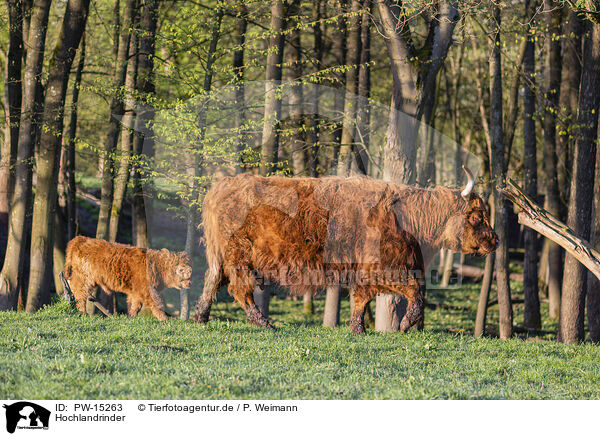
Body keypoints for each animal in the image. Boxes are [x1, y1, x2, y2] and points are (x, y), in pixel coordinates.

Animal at [192, 169, 496, 332]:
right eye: (476, 216)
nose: (495, 241)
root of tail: (220, 186)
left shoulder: (366, 272)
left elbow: (361, 300)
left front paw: (357, 328)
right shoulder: (386, 268)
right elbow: (415, 291)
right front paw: (405, 323)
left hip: (222, 256)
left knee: (212, 280)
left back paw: (200, 317)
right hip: (239, 255)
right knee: (238, 288)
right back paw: (263, 322)